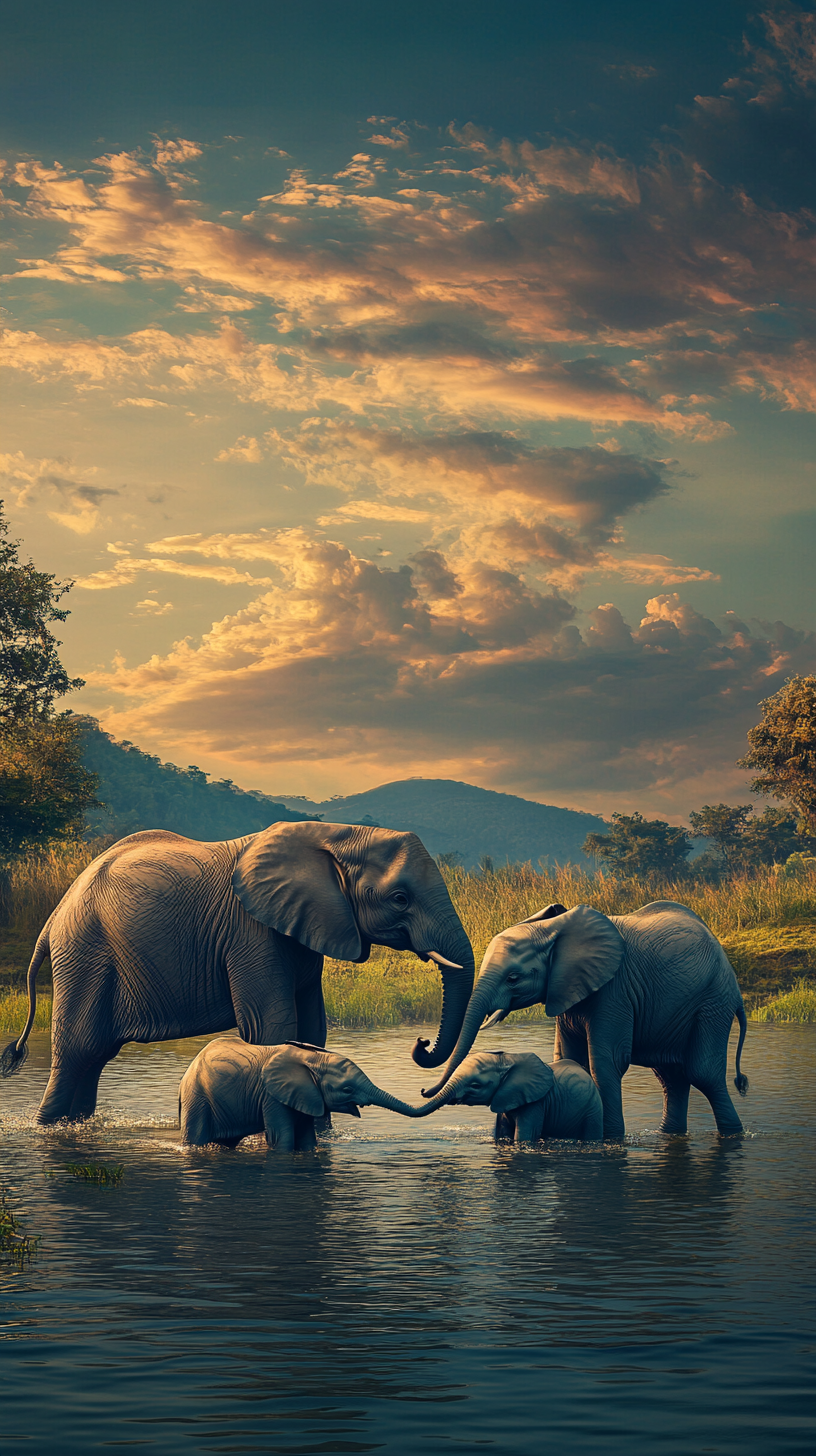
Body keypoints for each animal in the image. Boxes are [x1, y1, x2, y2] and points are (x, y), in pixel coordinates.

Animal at [1, 821, 472, 1124]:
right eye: (399, 898)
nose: (421, 1044)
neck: (332, 834)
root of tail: (54, 915)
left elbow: (312, 1028)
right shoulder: (250, 931)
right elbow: (274, 1026)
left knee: (93, 1056)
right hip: (84, 954)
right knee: (78, 1050)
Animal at [179, 1036, 419, 1147]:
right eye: (347, 1089)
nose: (423, 1089)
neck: (312, 1058)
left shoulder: (307, 1095)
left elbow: (307, 1139)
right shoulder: (271, 1096)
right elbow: (282, 1139)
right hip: (197, 1098)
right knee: (195, 1138)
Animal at [410, 1054, 603, 1141]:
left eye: (476, 1086)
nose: (422, 1089)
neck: (507, 1059)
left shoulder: (535, 1104)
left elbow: (524, 1137)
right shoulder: (504, 1098)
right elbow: (502, 1134)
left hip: (592, 1109)